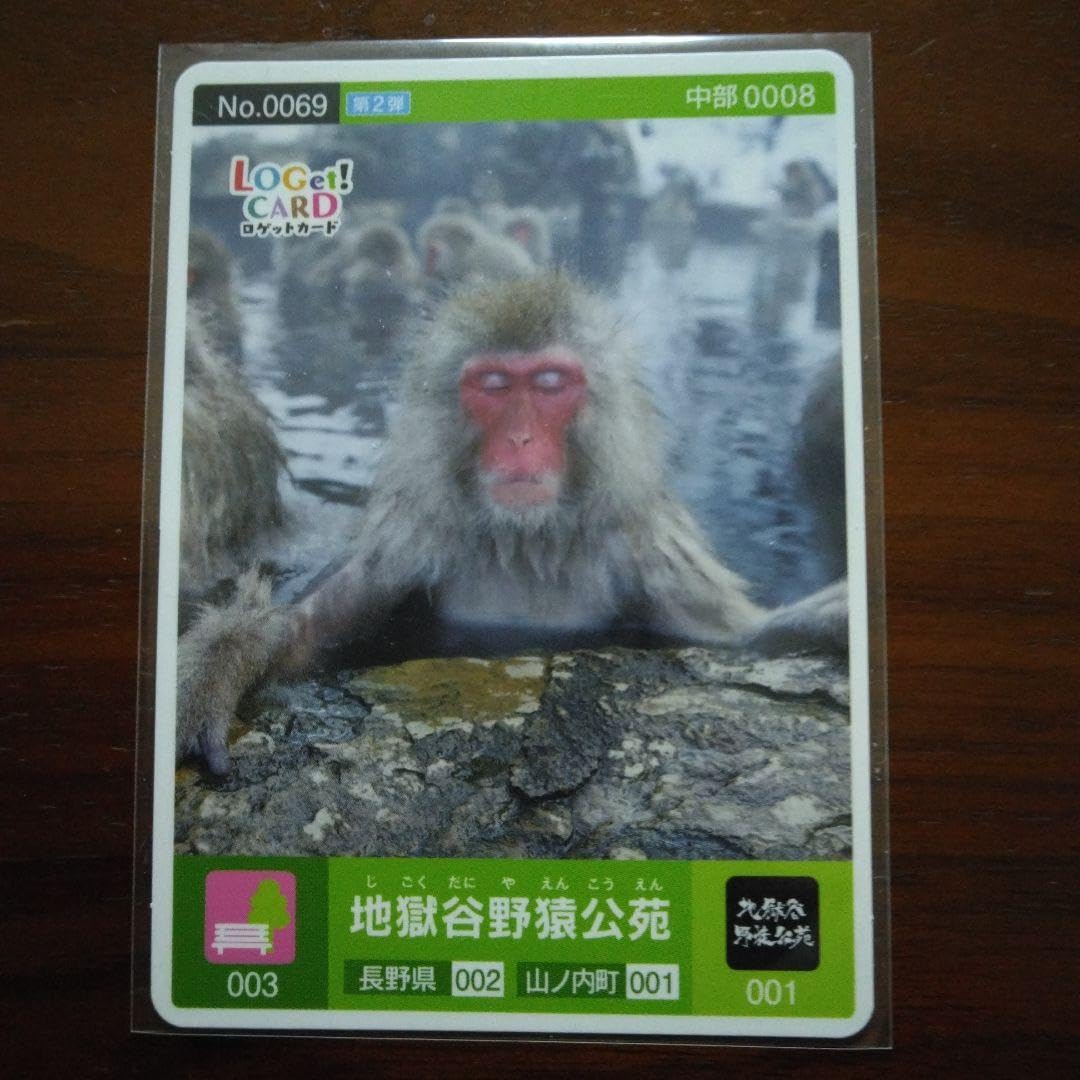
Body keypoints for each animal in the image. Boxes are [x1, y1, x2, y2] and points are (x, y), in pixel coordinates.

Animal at [177, 272, 847, 774]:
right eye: (494, 385)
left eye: (550, 383)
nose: (521, 439)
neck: (529, 539)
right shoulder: (414, 538)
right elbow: (305, 634)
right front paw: (222, 666)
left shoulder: (647, 550)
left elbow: (733, 638)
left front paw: (817, 621)